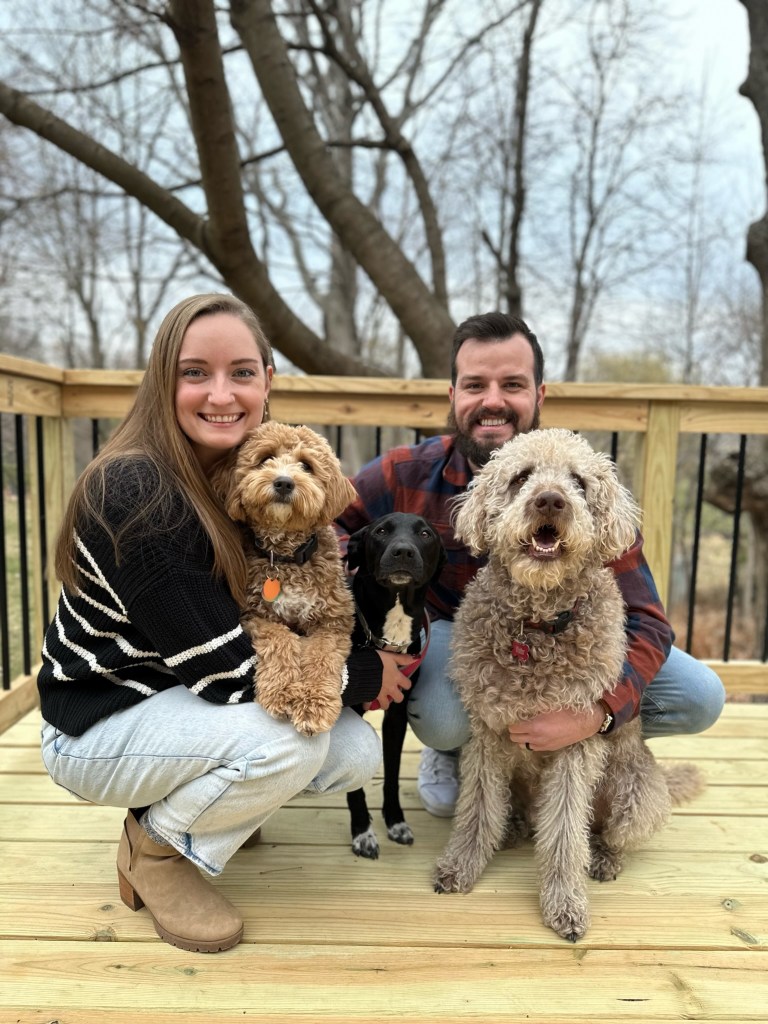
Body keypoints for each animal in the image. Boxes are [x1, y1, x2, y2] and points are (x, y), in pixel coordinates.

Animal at [217, 421, 357, 737]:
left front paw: (314, 703)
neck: (285, 557)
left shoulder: (333, 623)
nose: (283, 482)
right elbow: (280, 639)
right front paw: (282, 692)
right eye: (265, 458)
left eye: (306, 465)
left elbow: (321, 656)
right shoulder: (254, 616)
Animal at [344, 512, 445, 858]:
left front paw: (395, 821)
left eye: (425, 534)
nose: (403, 551)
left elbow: (391, 773)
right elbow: (355, 783)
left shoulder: (397, 713)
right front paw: (362, 831)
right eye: (381, 531)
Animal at [433, 428, 703, 941]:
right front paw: (461, 866)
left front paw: (565, 904)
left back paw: (602, 858)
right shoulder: (487, 733)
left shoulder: (573, 743)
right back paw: (514, 827)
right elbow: (478, 808)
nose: (551, 500)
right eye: (521, 477)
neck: (537, 624)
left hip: (635, 797)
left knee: (607, 833)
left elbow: (563, 833)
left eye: (578, 481)